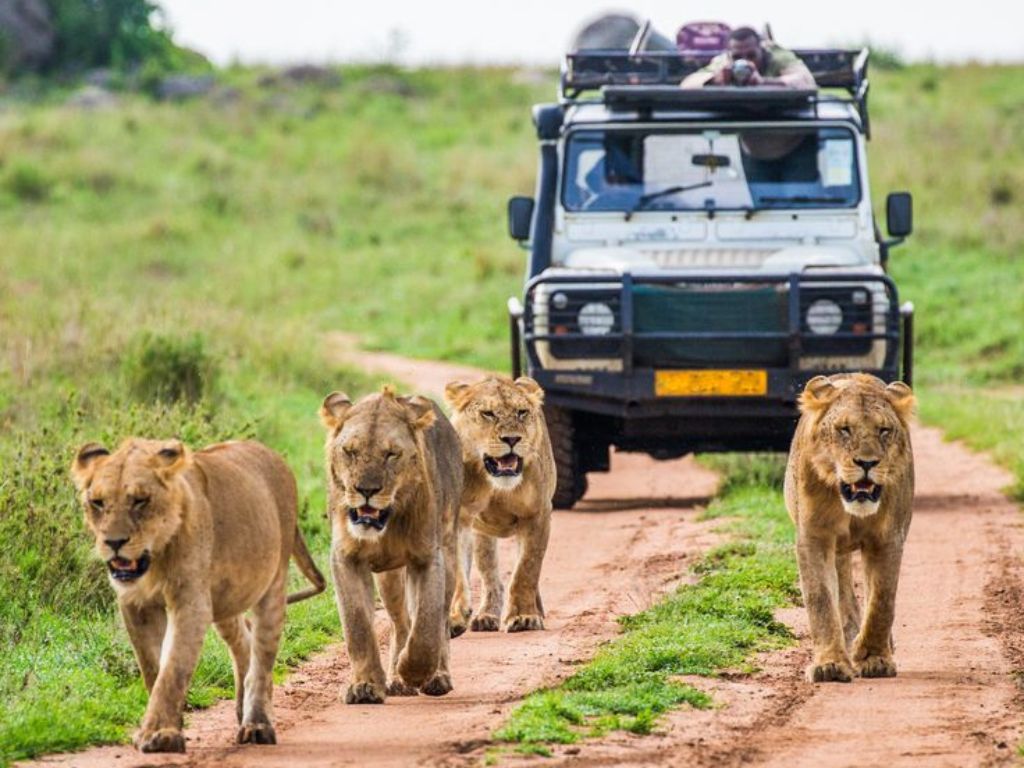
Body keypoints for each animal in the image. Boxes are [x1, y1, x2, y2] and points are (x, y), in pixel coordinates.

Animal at [71, 438, 323, 753]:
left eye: (140, 500)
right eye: (98, 502)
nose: (113, 542)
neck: (156, 558)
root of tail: (272, 454)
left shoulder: (191, 602)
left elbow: (173, 668)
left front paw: (159, 734)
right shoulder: (135, 604)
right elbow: (153, 668)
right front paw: (169, 727)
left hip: (273, 582)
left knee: (262, 658)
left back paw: (257, 724)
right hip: (226, 598)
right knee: (243, 642)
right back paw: (242, 709)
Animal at [319, 387, 464, 708]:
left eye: (391, 454)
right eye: (350, 451)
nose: (366, 490)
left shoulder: (428, 558)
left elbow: (427, 625)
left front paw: (414, 672)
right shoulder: (345, 558)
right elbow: (358, 625)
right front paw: (365, 686)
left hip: (448, 553)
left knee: (438, 621)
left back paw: (435, 677)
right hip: (389, 577)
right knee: (400, 621)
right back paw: (396, 679)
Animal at [444, 378, 557, 638]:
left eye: (521, 412)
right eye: (488, 414)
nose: (512, 439)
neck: (495, 484)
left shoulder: (537, 514)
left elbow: (526, 570)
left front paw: (524, 617)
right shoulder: (459, 519)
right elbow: (458, 571)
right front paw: (455, 618)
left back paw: (535, 611)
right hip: (482, 535)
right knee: (491, 577)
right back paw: (486, 616)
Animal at [786, 376, 917, 684]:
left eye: (883, 430)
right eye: (844, 429)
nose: (867, 463)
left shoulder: (888, 539)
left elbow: (881, 601)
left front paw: (874, 658)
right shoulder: (814, 538)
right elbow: (821, 599)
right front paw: (830, 665)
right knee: (842, 592)